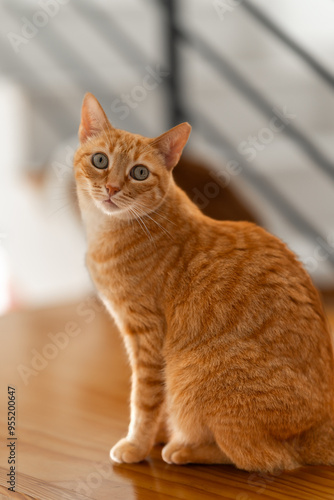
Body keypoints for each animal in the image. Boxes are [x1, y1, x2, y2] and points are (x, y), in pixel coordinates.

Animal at [73, 94, 334, 472]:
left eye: (139, 172)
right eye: (100, 160)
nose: (111, 188)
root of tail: (321, 426)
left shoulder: (147, 337)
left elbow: (144, 400)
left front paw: (138, 444)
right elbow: (157, 403)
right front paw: (157, 434)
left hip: (192, 375)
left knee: (265, 457)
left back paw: (184, 448)